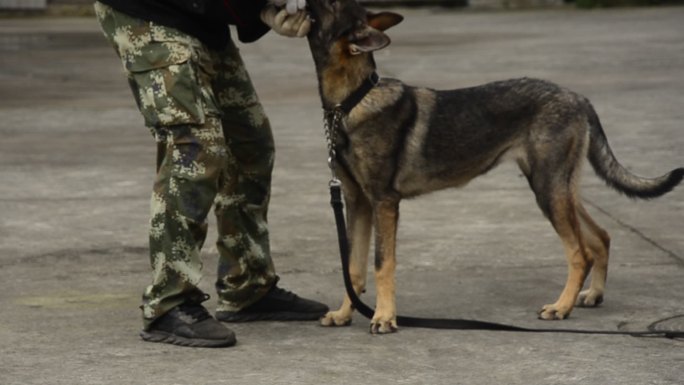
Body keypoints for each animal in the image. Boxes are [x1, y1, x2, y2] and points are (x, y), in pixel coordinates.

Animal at [304, 0, 684, 332]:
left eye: (333, 4)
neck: (352, 101)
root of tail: (578, 97)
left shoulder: (383, 203)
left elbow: (382, 264)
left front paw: (384, 317)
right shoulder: (359, 203)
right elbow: (353, 268)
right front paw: (344, 313)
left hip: (548, 190)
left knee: (579, 252)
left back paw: (561, 307)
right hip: (559, 188)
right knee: (600, 237)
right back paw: (592, 295)